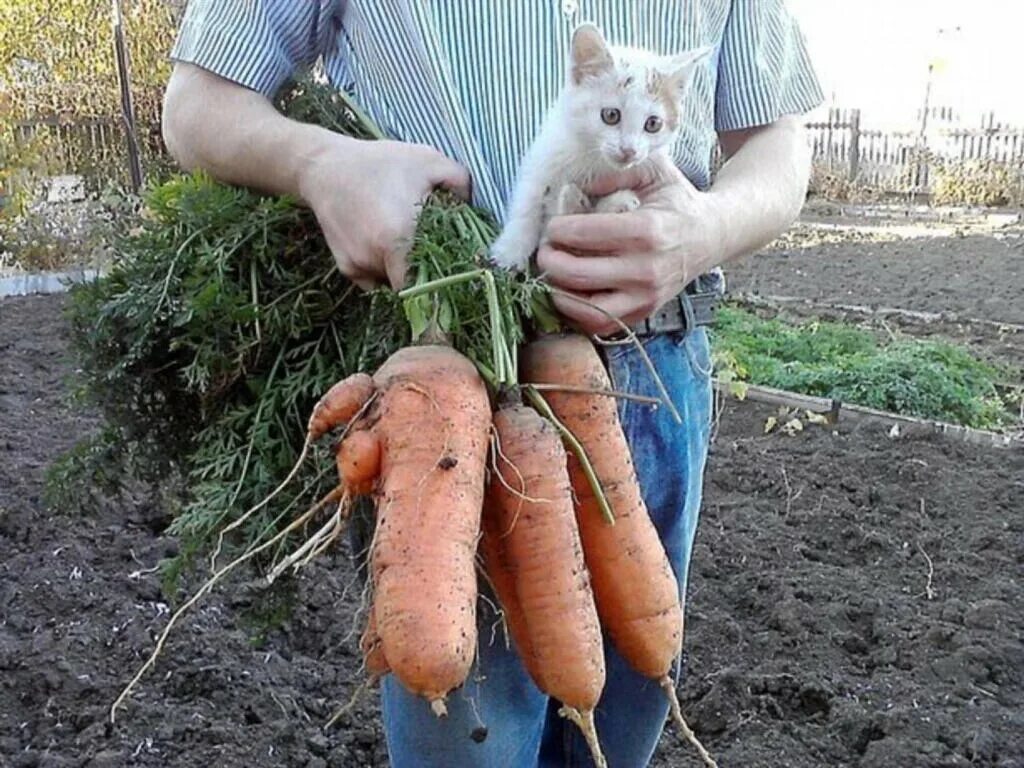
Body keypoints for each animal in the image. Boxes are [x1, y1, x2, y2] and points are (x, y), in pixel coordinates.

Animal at [489, 24, 712, 270]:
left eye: (653, 124)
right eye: (611, 115)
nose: (629, 151)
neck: (594, 158)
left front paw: (614, 201)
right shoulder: (544, 156)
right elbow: (527, 200)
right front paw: (510, 250)